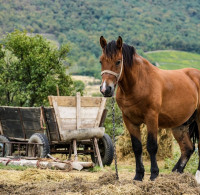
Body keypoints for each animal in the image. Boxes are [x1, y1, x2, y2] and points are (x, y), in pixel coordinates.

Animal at [99, 36, 200, 181]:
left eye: (118, 61)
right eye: (101, 61)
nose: (105, 89)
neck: (139, 83)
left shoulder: (151, 118)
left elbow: (151, 146)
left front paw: (153, 174)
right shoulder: (129, 120)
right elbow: (137, 147)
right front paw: (138, 175)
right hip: (180, 125)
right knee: (188, 148)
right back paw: (176, 173)